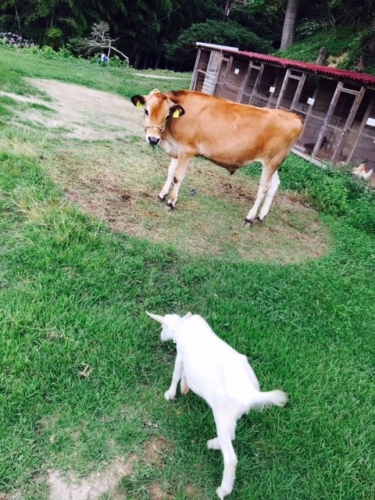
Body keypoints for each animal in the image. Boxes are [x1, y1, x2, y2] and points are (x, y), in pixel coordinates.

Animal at [131, 89, 302, 226]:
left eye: (167, 116)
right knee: (274, 185)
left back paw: (250, 218)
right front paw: (162, 194)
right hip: (275, 163)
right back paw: (261, 215)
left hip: (271, 162)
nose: (153, 139)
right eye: (146, 111)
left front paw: (171, 202)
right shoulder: (176, 149)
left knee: (263, 188)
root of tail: (294, 116)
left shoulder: (187, 150)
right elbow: (170, 172)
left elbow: (178, 176)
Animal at [147, 310, 288, 498]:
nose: (161, 336)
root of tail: (250, 394)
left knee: (231, 458)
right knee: (232, 435)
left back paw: (223, 489)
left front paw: (170, 394)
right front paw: (184, 387)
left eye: (162, 326)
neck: (184, 324)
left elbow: (176, 374)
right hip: (232, 416)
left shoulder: (181, 356)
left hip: (222, 416)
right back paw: (214, 444)